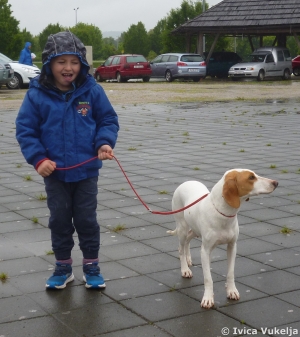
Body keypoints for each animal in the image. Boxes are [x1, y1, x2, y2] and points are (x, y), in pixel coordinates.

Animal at [168, 169, 278, 308]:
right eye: (251, 177)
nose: (276, 183)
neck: (223, 213)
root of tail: (186, 182)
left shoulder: (232, 246)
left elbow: (230, 273)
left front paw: (232, 291)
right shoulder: (205, 251)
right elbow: (208, 278)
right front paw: (208, 298)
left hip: (194, 230)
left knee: (188, 241)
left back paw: (188, 259)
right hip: (182, 228)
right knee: (181, 248)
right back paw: (185, 269)